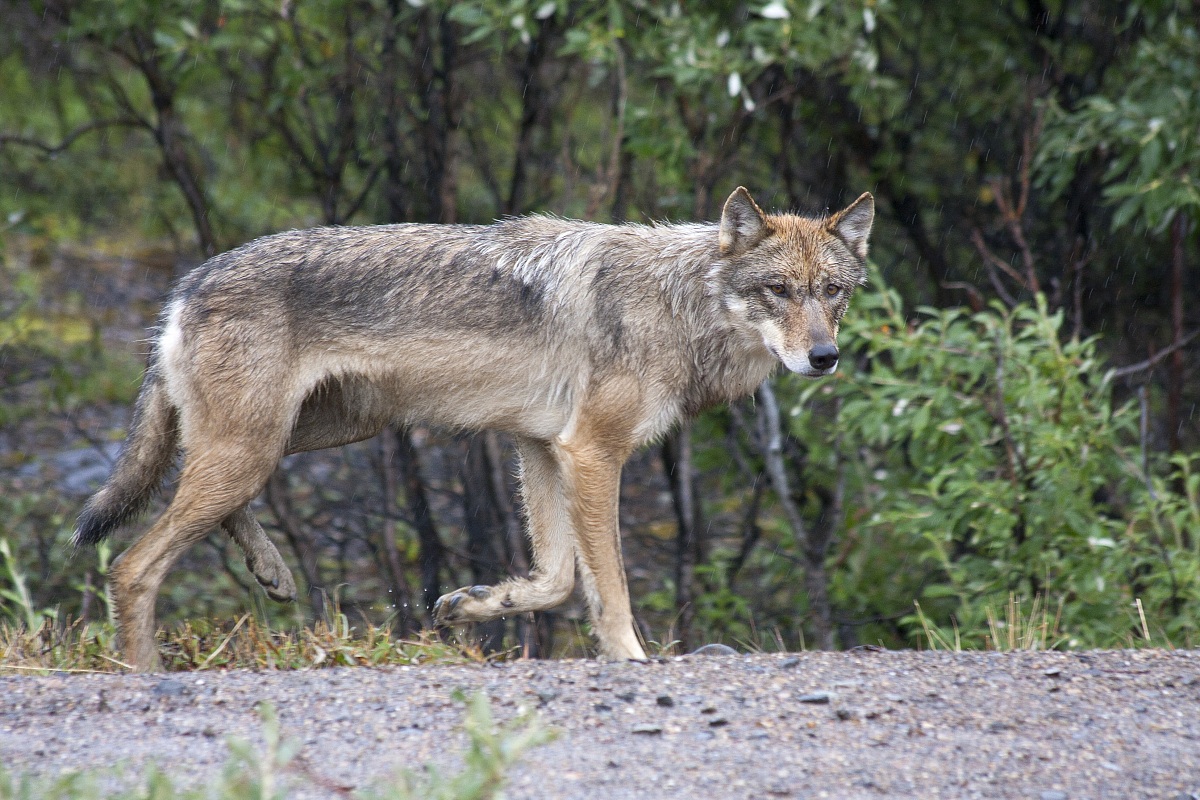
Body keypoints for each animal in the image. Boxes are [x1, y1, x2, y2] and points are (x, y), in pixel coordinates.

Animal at [75, 186, 873, 671]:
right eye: (779, 291)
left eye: (833, 293)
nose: (824, 357)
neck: (675, 302)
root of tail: (186, 284)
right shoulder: (591, 453)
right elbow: (608, 585)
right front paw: (630, 659)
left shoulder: (542, 449)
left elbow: (555, 580)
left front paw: (471, 605)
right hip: (258, 445)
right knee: (133, 565)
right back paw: (141, 669)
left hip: (303, 435)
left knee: (200, 500)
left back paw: (269, 570)